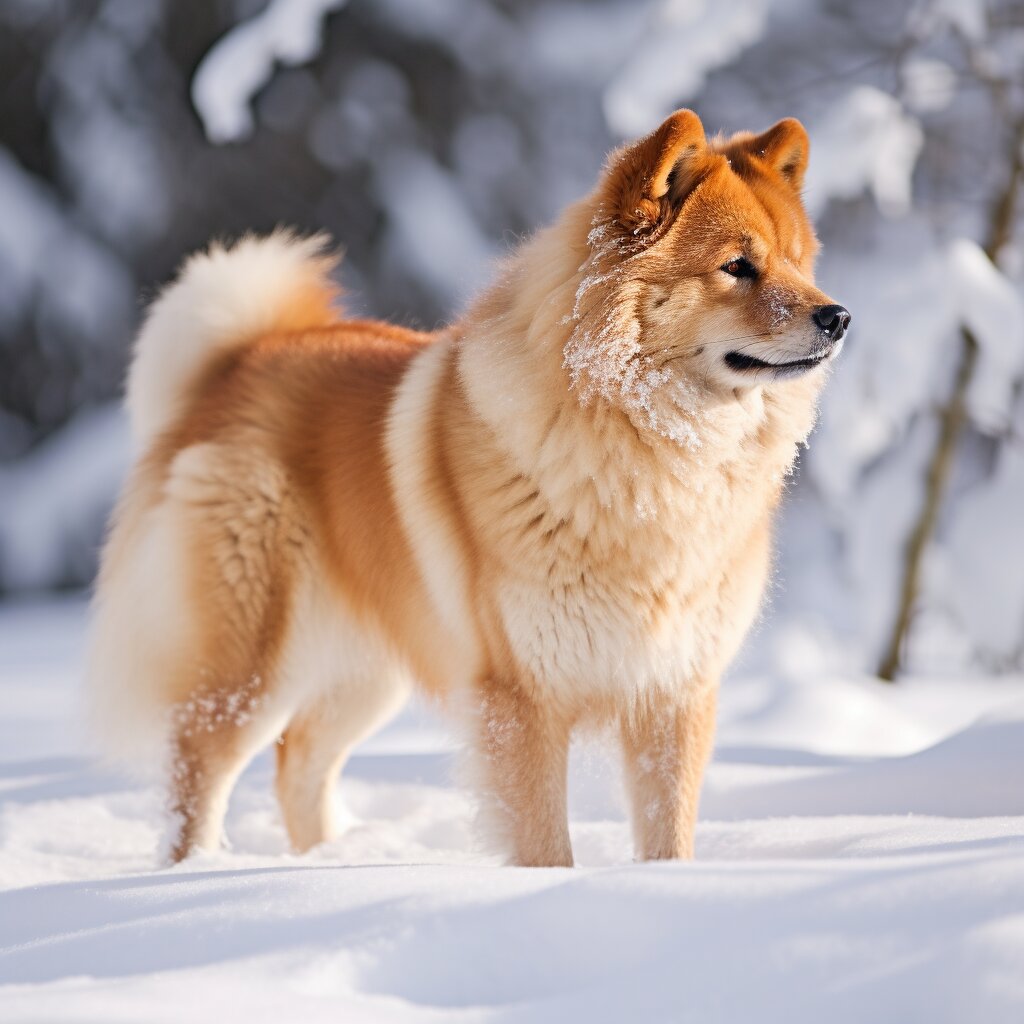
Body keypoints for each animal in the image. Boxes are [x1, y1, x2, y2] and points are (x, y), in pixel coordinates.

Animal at [86, 110, 847, 864]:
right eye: (737, 266)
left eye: (797, 261)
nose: (838, 317)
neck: (643, 455)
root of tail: (238, 360)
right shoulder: (523, 697)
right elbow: (546, 846)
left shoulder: (674, 690)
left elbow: (668, 837)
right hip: (254, 667)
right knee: (199, 770)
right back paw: (198, 872)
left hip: (367, 669)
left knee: (298, 764)